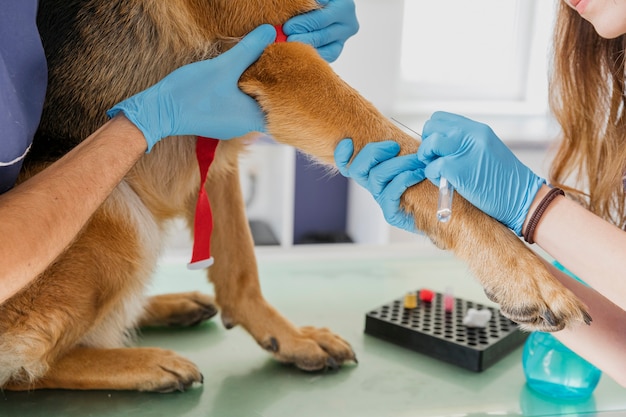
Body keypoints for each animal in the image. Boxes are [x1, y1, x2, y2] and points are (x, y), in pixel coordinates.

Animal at [0, 0, 588, 392]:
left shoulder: (222, 133)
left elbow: (240, 264)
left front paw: (283, 335)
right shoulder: (282, 58)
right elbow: (400, 145)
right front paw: (524, 271)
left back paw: (165, 307)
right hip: (118, 214)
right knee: (26, 368)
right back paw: (141, 363)